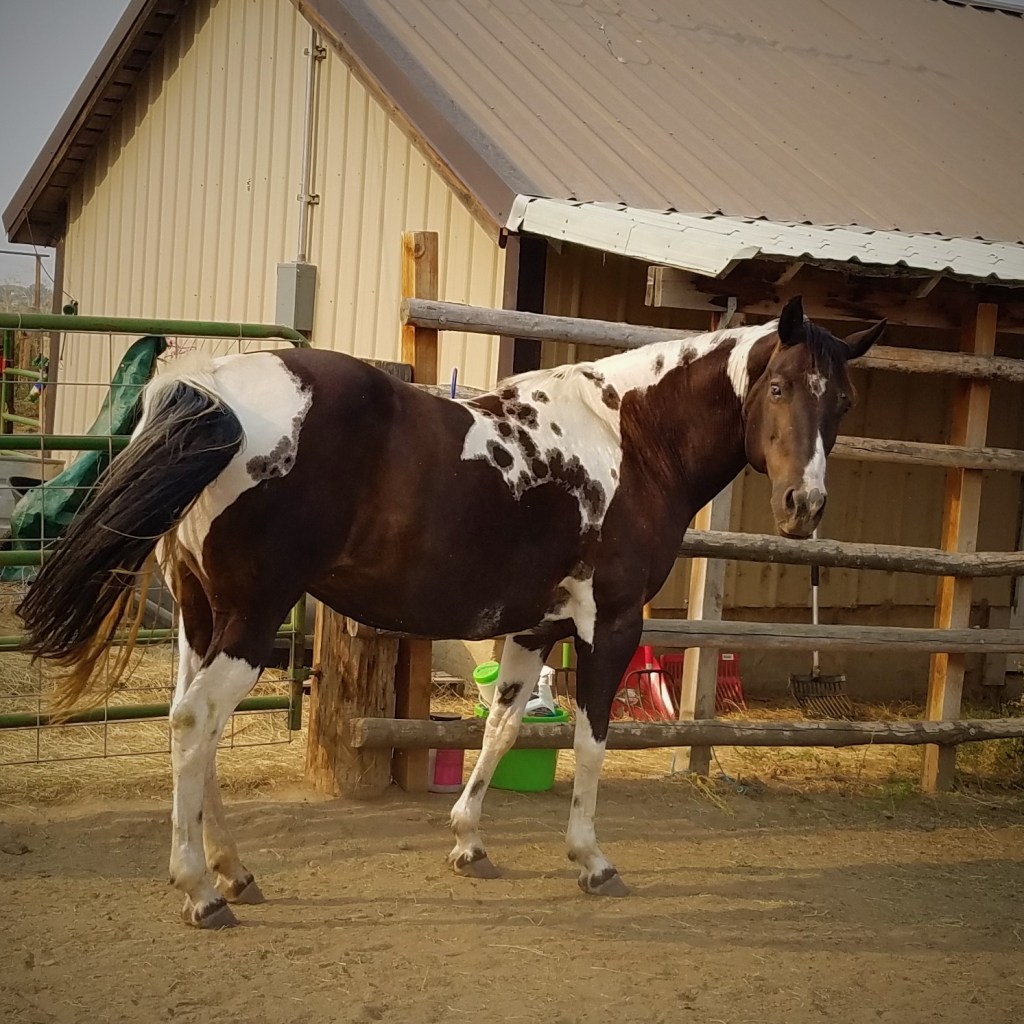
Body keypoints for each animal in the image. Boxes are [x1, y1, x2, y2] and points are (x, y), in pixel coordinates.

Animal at [17, 295, 884, 928]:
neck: (632, 437)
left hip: (203, 620)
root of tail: (216, 389)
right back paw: (199, 889)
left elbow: (500, 728)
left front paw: (469, 843)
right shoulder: (611, 625)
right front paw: (591, 860)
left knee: (191, 732)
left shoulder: (534, 628)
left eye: (841, 400)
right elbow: (592, 743)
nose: (804, 506)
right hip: (251, 619)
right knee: (196, 724)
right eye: (779, 389)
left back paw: (234, 872)